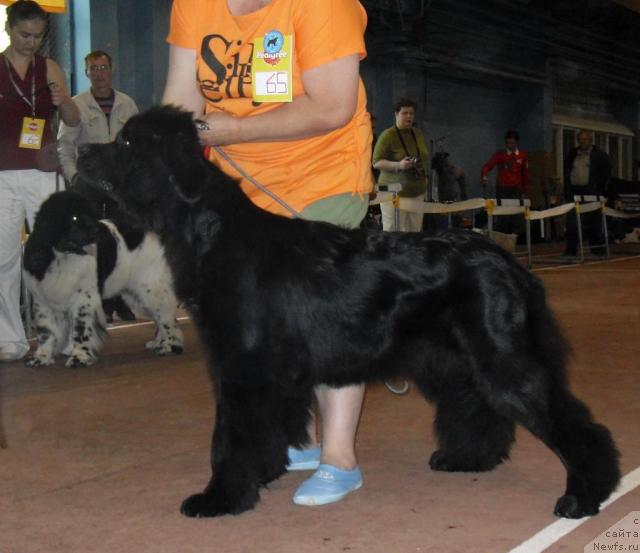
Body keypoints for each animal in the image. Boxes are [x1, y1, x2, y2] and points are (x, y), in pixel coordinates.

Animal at [22, 190, 182, 366]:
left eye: (91, 215)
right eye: (74, 218)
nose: (97, 232)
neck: (60, 257)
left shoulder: (84, 299)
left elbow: (80, 330)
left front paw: (79, 357)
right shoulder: (43, 300)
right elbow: (47, 332)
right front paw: (41, 358)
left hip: (152, 289)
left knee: (167, 318)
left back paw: (169, 346)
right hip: (138, 295)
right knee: (160, 318)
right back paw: (158, 343)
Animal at [76, 105, 620, 520]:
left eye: (126, 142)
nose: (81, 152)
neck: (212, 232)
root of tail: (510, 264)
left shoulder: (241, 364)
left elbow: (229, 435)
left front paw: (220, 498)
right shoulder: (268, 372)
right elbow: (268, 427)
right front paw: (265, 473)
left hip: (502, 358)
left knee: (571, 423)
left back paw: (585, 494)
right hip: (451, 360)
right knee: (478, 406)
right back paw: (468, 459)